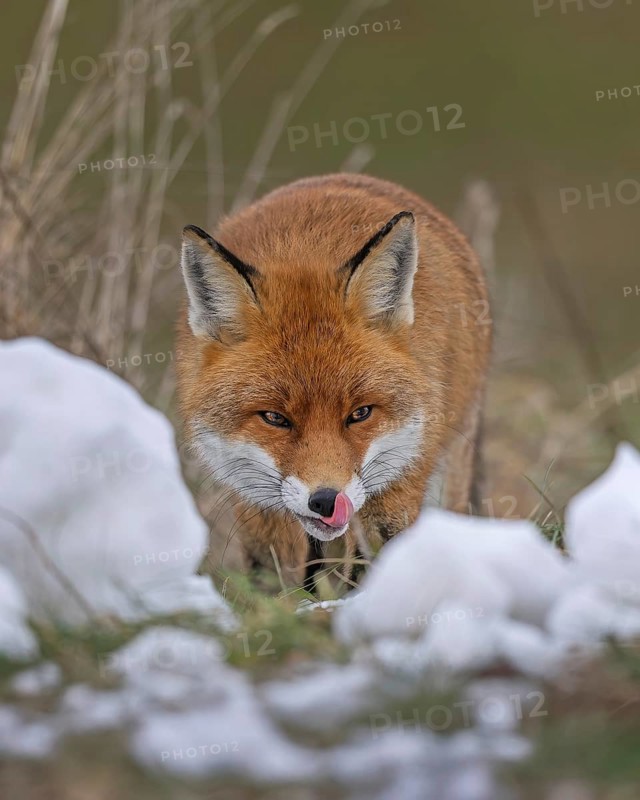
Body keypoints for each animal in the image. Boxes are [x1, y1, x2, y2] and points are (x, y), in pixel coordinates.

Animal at [176, 173, 491, 587]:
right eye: (275, 418)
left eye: (360, 413)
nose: (326, 500)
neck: (303, 250)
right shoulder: (255, 500)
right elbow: (272, 573)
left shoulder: (402, 471)